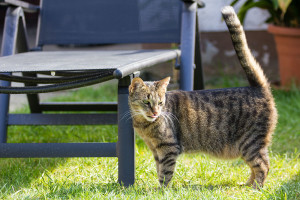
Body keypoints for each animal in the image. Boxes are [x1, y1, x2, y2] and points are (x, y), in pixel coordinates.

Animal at [126, 5, 276, 188]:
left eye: (160, 103)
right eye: (147, 102)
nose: (155, 112)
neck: (144, 125)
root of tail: (258, 88)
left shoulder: (168, 148)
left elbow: (165, 173)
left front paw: (161, 190)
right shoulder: (155, 149)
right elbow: (158, 169)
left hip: (250, 143)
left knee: (263, 165)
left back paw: (255, 188)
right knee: (255, 167)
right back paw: (247, 184)